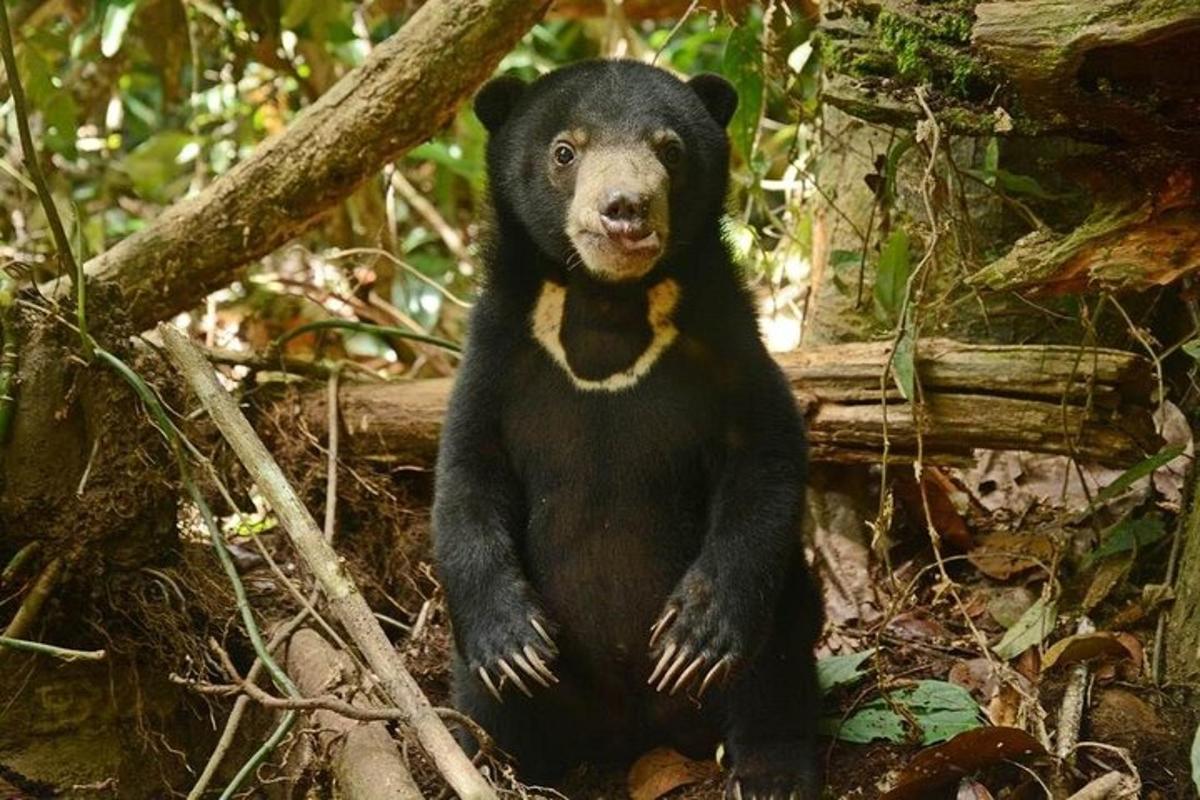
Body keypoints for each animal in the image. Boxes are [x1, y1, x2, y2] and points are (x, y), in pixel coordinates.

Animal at [434, 59, 825, 796]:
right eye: (566, 151)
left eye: (669, 150)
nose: (626, 210)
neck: (606, 305)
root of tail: (632, 734)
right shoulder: (496, 360)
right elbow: (467, 479)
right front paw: (514, 641)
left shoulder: (729, 349)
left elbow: (765, 461)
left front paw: (695, 634)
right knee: (484, 693)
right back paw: (493, 761)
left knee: (780, 647)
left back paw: (773, 767)